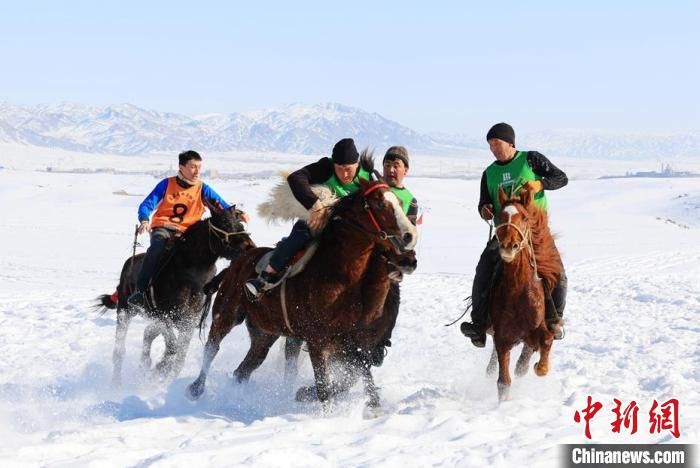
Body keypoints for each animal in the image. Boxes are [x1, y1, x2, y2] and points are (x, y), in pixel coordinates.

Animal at [95, 207, 254, 386]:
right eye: (225, 224)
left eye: (240, 224)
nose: (249, 247)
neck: (190, 276)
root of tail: (129, 262)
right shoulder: (164, 315)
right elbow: (173, 347)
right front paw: (160, 369)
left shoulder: (188, 322)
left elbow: (179, 355)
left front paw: (160, 370)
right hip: (125, 310)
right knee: (119, 349)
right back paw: (117, 381)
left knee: (148, 334)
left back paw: (145, 364)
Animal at [186, 176, 416, 414]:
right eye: (379, 203)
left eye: (400, 201)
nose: (409, 237)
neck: (341, 276)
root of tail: (236, 263)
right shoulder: (317, 341)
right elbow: (324, 388)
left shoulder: (353, 342)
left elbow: (361, 377)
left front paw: (373, 407)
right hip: (226, 314)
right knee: (212, 347)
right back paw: (196, 388)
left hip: (264, 333)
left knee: (244, 368)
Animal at [490, 185, 568, 400]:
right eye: (498, 216)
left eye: (524, 217)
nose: (508, 246)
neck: (517, 289)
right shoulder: (502, 338)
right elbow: (503, 382)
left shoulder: (537, 332)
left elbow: (546, 342)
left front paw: (539, 368)